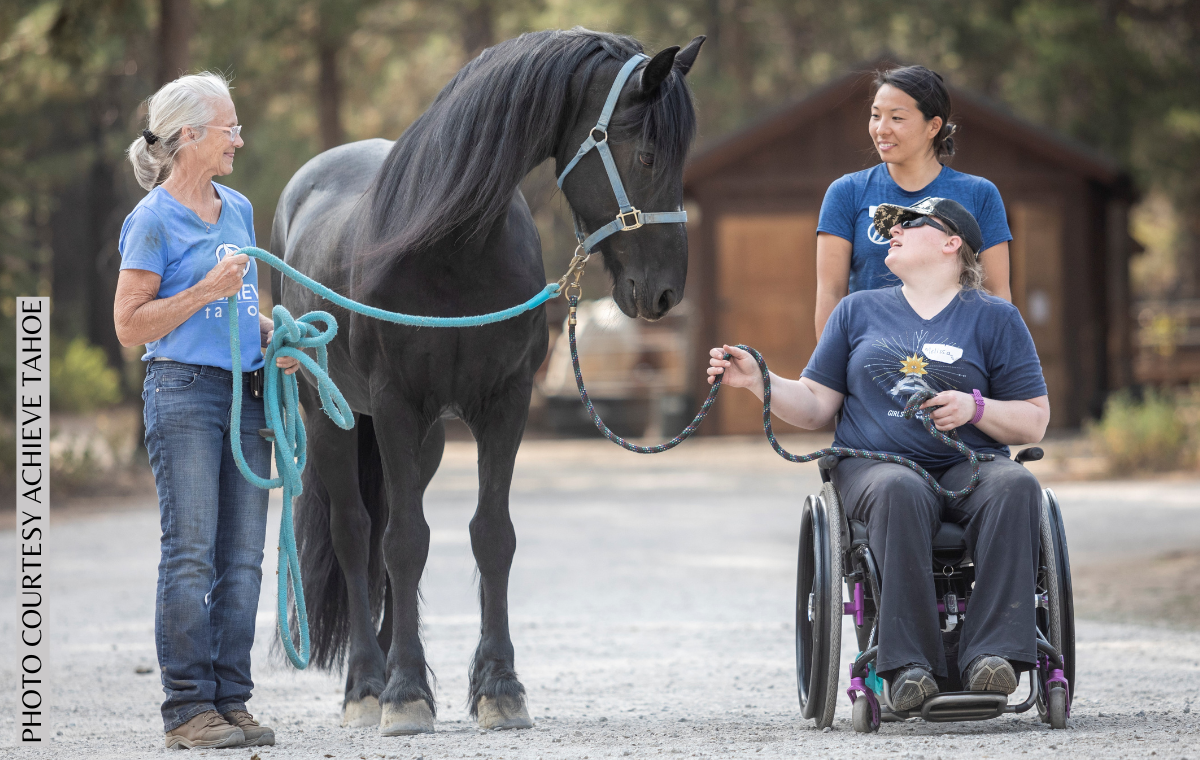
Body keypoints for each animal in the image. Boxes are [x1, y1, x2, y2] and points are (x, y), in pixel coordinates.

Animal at [272, 31, 700, 734]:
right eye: (644, 154)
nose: (665, 291)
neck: (450, 249)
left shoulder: (504, 404)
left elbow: (490, 536)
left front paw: (498, 687)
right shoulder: (394, 404)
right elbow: (404, 542)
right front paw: (403, 696)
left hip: (425, 441)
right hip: (330, 417)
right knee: (358, 533)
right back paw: (369, 684)